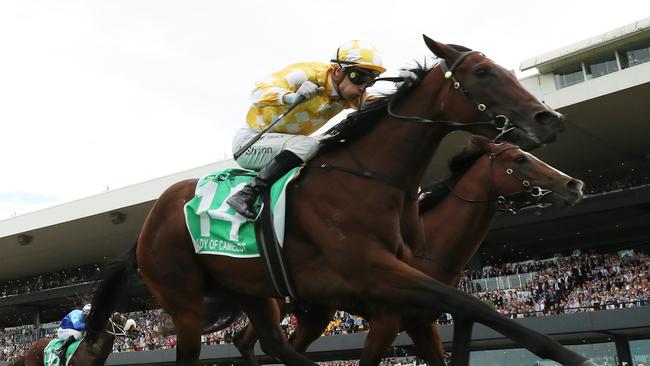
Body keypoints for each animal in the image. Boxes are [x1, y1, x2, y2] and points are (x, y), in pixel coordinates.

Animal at [232, 137, 584, 366]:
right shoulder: (386, 320)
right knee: (250, 340)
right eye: (520, 159)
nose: (574, 185)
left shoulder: (422, 324)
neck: (426, 249)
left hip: (314, 313)